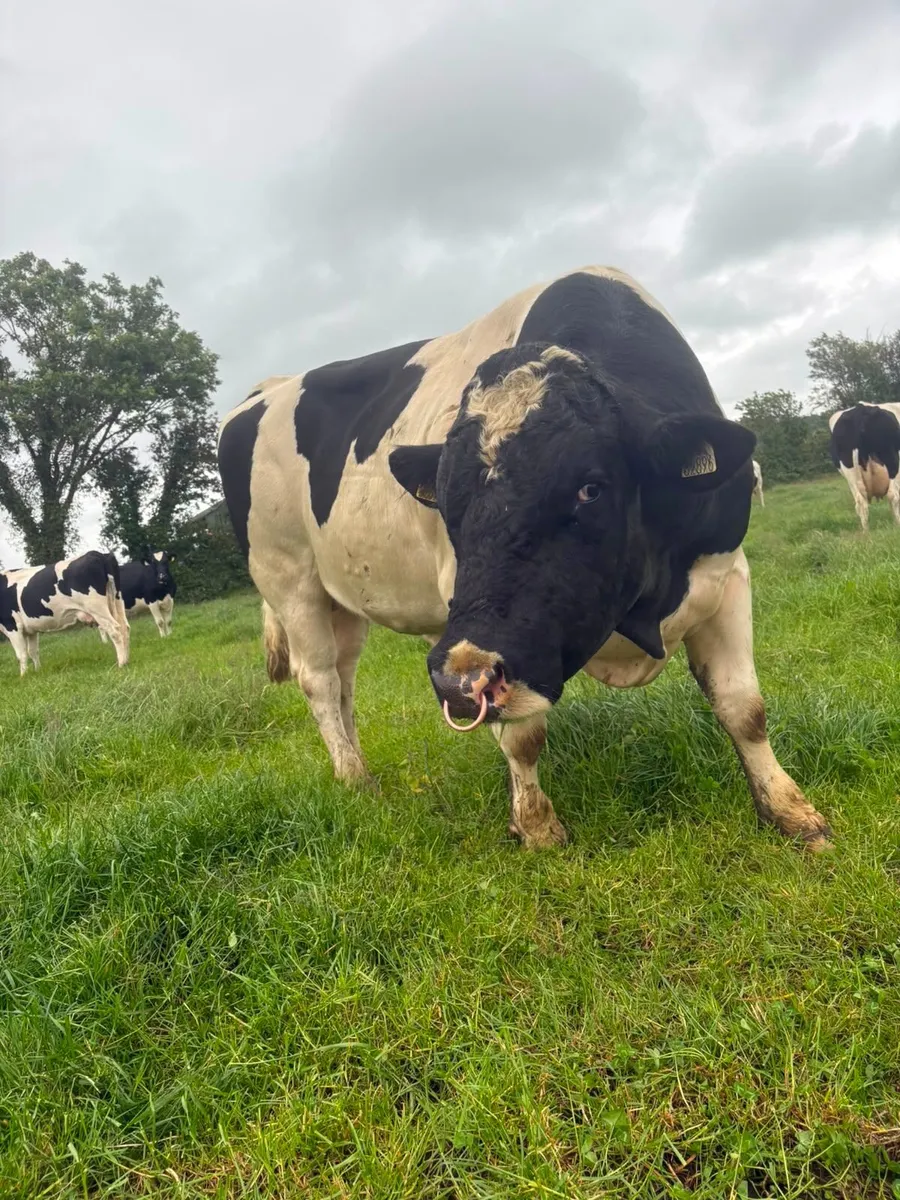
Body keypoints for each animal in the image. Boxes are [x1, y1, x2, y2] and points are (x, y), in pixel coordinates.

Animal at [0, 550, 130, 674]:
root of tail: (98, 554)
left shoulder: (11, 625)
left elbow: (21, 655)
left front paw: (23, 676)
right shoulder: (31, 630)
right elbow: (33, 651)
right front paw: (38, 672)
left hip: (96, 607)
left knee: (114, 630)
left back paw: (121, 664)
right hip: (117, 599)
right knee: (124, 627)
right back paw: (127, 660)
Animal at [216, 265, 831, 853]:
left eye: (590, 488)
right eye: (449, 503)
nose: (455, 685)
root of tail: (266, 389)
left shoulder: (726, 575)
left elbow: (744, 707)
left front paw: (792, 813)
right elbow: (522, 735)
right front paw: (535, 827)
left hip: (338, 597)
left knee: (344, 679)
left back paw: (363, 767)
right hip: (286, 575)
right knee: (318, 678)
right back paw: (354, 781)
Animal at [828, 402, 900, 531]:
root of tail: (862, 409)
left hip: (850, 472)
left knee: (860, 503)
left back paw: (866, 532)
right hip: (893, 461)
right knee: (893, 495)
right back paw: (897, 525)